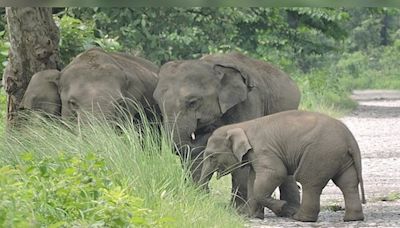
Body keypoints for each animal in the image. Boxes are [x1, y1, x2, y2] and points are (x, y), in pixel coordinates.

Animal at [152, 51, 300, 216]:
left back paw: (290, 211)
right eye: (157, 102)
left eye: (192, 102)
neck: (211, 66)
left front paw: (240, 211)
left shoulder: (249, 101)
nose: (205, 194)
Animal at [200, 109, 366, 222]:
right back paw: (352, 219)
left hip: (320, 154)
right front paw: (252, 217)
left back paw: (300, 218)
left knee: (309, 181)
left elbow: (276, 173)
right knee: (348, 183)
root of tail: (350, 139)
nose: (207, 194)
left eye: (212, 156)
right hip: (340, 157)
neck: (242, 126)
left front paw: (282, 206)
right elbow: (253, 180)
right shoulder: (255, 155)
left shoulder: (263, 149)